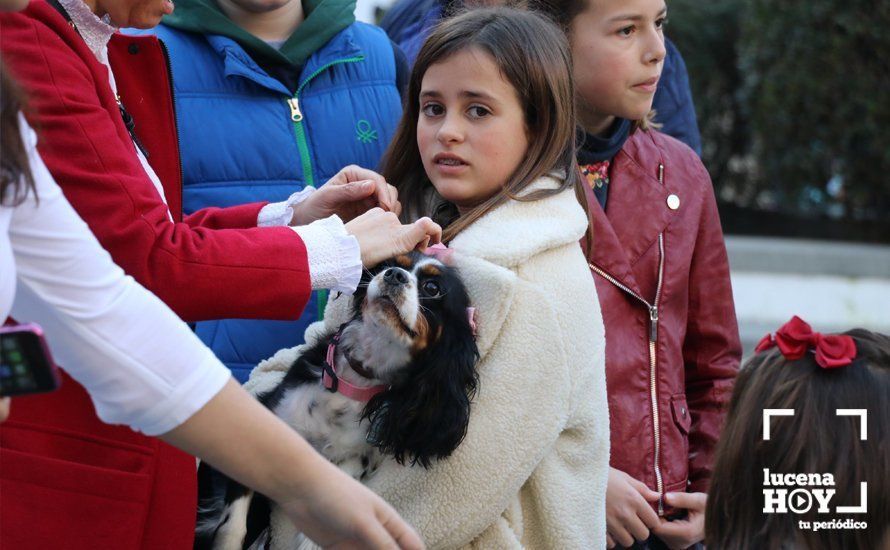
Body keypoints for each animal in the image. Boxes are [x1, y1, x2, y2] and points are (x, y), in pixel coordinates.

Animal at [195, 252, 478, 548]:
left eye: (432, 288)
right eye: (387, 264)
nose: (394, 275)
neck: (353, 381)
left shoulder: (358, 457)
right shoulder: (268, 417)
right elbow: (233, 522)